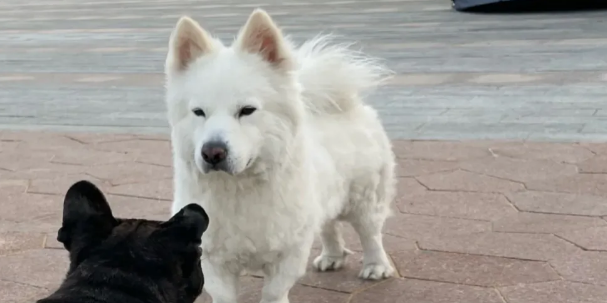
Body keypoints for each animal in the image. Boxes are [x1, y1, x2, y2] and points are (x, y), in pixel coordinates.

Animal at [164, 9, 396, 303]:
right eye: (198, 112)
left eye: (247, 110)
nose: (212, 152)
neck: (240, 190)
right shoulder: (214, 259)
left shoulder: (289, 252)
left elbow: (274, 292)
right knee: (329, 226)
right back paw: (332, 257)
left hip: (364, 199)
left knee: (370, 234)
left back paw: (376, 266)